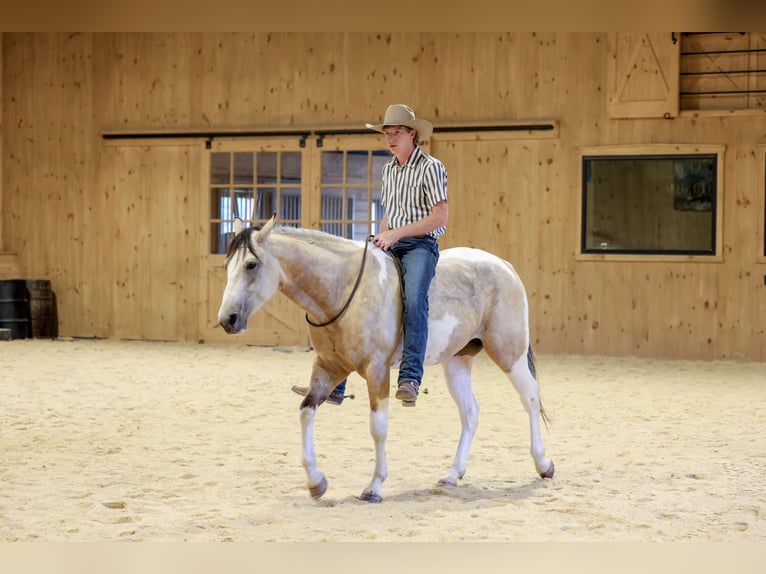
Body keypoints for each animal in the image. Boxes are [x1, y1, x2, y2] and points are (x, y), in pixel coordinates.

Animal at [218, 216, 554, 503]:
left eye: (251, 264)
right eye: (227, 265)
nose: (227, 319)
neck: (342, 289)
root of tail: (504, 266)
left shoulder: (376, 370)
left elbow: (378, 427)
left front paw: (374, 486)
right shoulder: (328, 367)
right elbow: (305, 412)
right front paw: (317, 482)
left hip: (509, 353)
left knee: (531, 398)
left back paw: (543, 464)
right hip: (457, 361)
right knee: (470, 412)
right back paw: (452, 475)